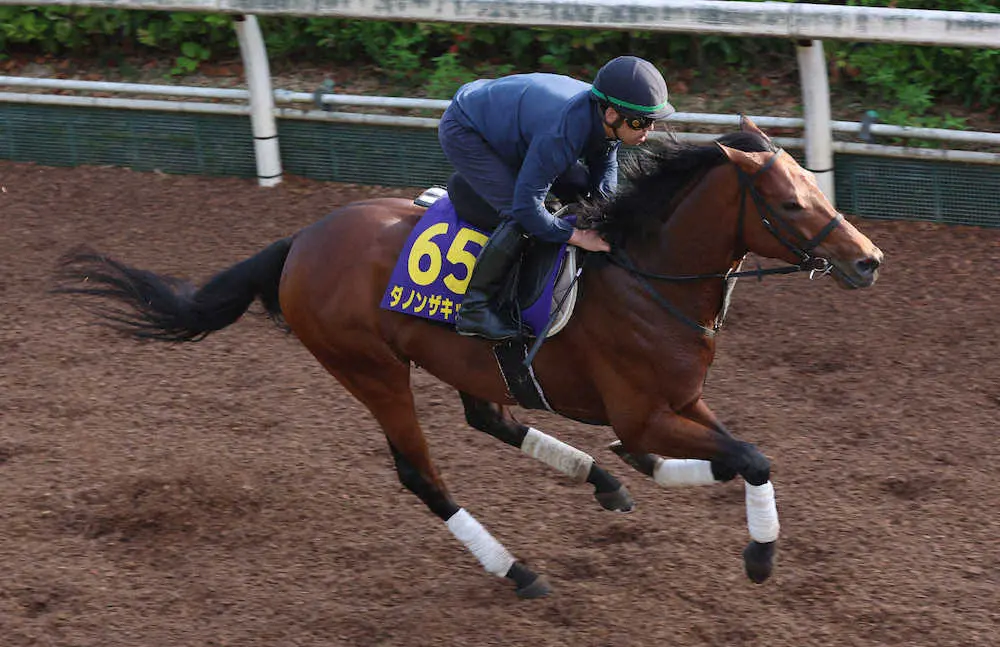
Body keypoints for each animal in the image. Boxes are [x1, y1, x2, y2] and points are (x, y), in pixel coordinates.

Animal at [56, 117, 884, 604]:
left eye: (816, 186)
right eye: (792, 203)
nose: (868, 260)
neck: (644, 273)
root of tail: (299, 242)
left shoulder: (679, 401)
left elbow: (729, 451)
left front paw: (645, 475)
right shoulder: (644, 409)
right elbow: (749, 454)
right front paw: (760, 556)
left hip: (458, 358)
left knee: (489, 415)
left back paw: (602, 480)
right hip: (370, 369)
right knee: (422, 473)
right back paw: (518, 569)